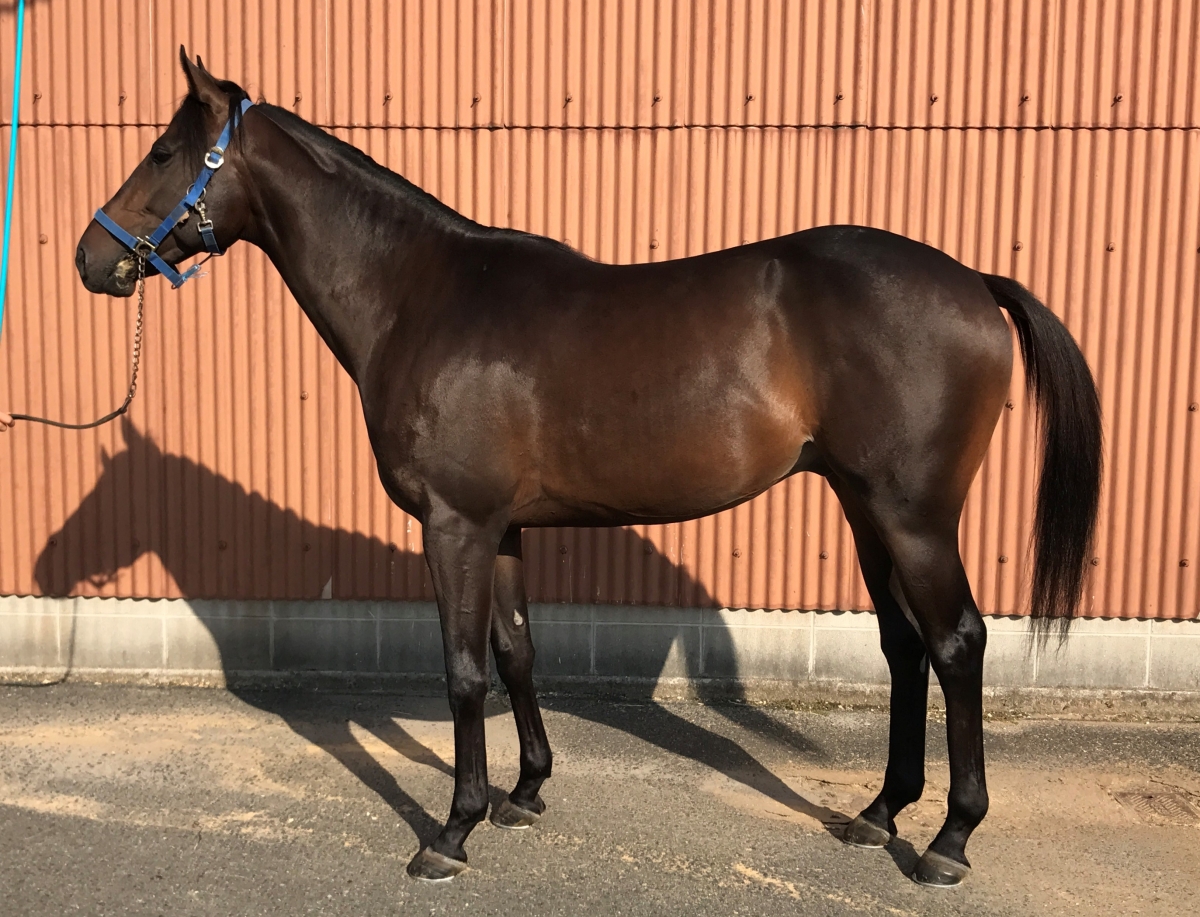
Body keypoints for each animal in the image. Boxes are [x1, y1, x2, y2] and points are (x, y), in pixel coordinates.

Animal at [74, 50, 1102, 887]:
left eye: (162, 152)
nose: (90, 257)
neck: (423, 296)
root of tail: (972, 282)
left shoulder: (454, 524)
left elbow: (462, 670)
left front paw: (450, 831)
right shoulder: (502, 528)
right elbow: (518, 650)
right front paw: (525, 791)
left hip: (914, 516)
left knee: (957, 643)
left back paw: (948, 841)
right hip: (864, 508)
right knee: (903, 646)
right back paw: (880, 811)